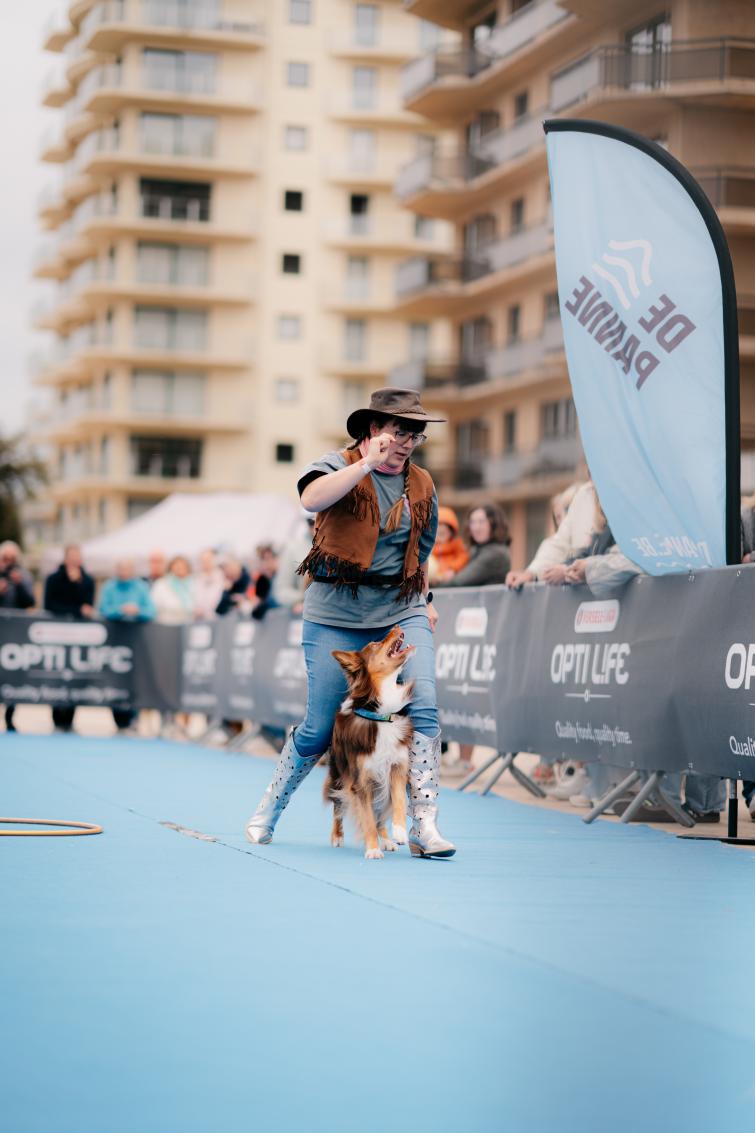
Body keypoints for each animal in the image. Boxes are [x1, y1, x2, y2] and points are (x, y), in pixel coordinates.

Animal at [325, 625, 414, 859]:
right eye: (374, 644)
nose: (396, 626)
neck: (380, 715)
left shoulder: (396, 767)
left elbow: (398, 801)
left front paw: (399, 832)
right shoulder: (361, 781)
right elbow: (367, 818)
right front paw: (373, 849)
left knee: (380, 811)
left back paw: (387, 839)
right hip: (338, 773)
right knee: (338, 805)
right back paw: (337, 836)